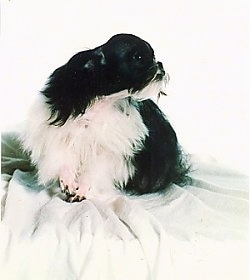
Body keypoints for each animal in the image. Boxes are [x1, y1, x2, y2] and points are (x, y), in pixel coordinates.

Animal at [21, 34, 189, 201]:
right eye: (138, 57)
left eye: (153, 57)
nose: (160, 64)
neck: (102, 99)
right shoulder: (60, 136)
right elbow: (64, 161)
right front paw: (68, 184)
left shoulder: (107, 150)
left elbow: (92, 172)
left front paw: (81, 192)